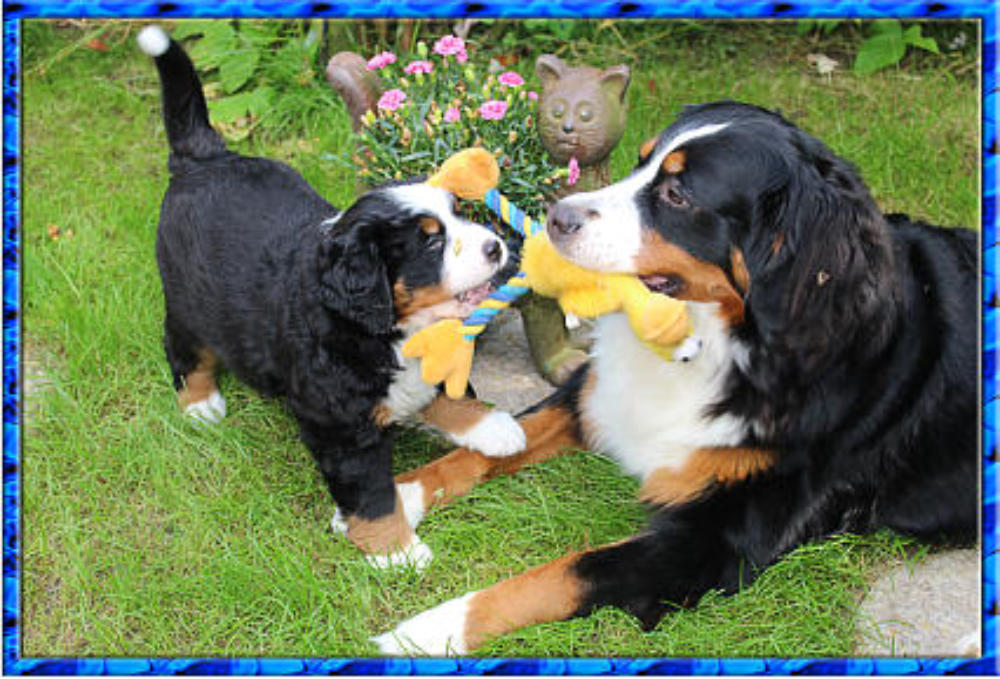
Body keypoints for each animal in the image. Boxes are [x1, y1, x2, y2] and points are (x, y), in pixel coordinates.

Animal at [138, 25, 528, 570]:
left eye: (459, 213)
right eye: (430, 242)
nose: (497, 246)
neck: (387, 330)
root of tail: (207, 158)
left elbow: (446, 393)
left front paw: (492, 426)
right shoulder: (341, 428)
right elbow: (372, 493)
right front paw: (396, 551)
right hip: (187, 299)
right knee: (182, 345)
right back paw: (200, 404)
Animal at [374, 101, 978, 653]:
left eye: (678, 196)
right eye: (640, 162)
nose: (557, 217)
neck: (714, 343)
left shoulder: (714, 539)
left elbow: (565, 573)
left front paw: (427, 629)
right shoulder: (592, 397)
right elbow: (482, 448)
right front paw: (397, 501)